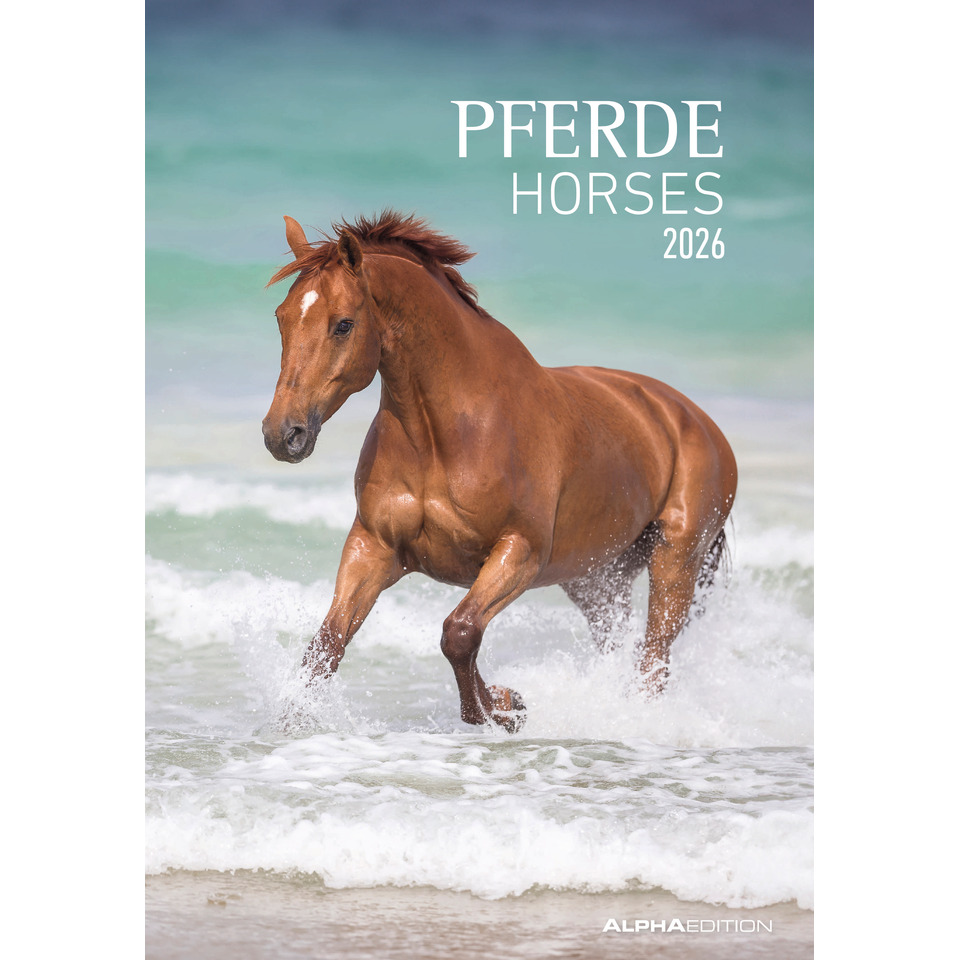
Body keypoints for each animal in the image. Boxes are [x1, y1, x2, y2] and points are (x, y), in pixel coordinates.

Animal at [262, 211, 737, 732]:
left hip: (675, 560)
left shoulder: (520, 551)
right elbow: (325, 648)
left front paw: (506, 706)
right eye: (281, 318)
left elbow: (459, 632)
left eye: (343, 324)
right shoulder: (373, 547)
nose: (283, 434)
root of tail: (693, 419)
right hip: (595, 579)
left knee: (654, 660)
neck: (446, 433)